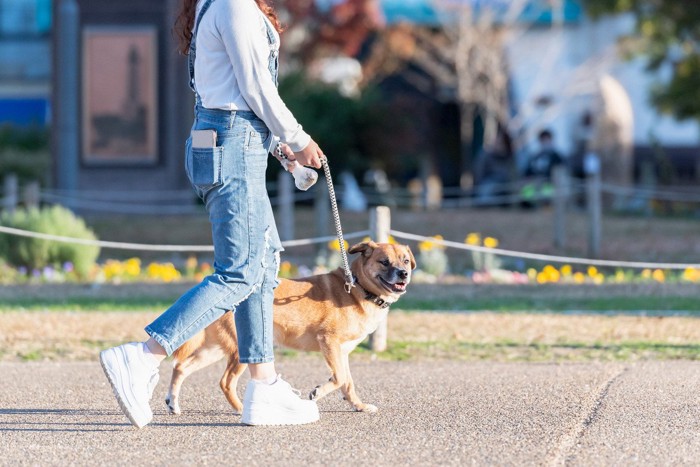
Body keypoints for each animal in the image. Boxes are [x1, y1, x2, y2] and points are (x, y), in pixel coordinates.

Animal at [166, 241, 412, 416]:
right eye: (384, 262)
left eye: (406, 261)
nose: (404, 273)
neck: (358, 288)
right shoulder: (329, 342)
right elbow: (340, 379)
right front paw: (318, 392)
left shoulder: (342, 352)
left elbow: (348, 383)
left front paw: (359, 406)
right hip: (241, 349)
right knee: (225, 382)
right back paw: (240, 409)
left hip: (215, 349)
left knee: (181, 367)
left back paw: (173, 403)